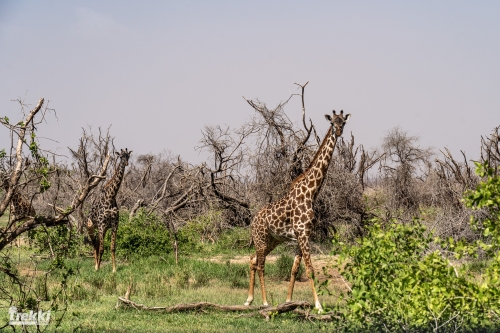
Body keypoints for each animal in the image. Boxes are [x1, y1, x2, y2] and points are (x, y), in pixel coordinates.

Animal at [244, 109, 350, 312]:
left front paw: (288, 301)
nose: (339, 131)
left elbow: (294, 269)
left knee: (253, 260)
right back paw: (264, 302)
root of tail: (253, 221)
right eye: (332, 122)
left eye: (344, 122)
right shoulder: (302, 234)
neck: (311, 193)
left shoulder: (303, 235)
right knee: (260, 265)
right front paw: (319, 305)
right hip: (261, 239)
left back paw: (249, 299)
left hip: (272, 240)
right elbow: (310, 269)